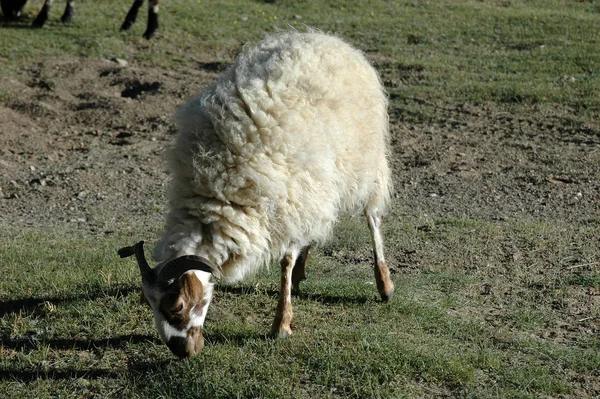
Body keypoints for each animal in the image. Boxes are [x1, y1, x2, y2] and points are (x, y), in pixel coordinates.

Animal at [119, 29, 396, 358]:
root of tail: (325, 38)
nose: (181, 351)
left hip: (365, 162)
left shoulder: (286, 201)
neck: (217, 191)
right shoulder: (294, 200)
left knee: (373, 217)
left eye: (178, 305)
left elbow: (285, 261)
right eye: (149, 304)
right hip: (316, 186)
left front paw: (281, 324)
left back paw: (384, 283)